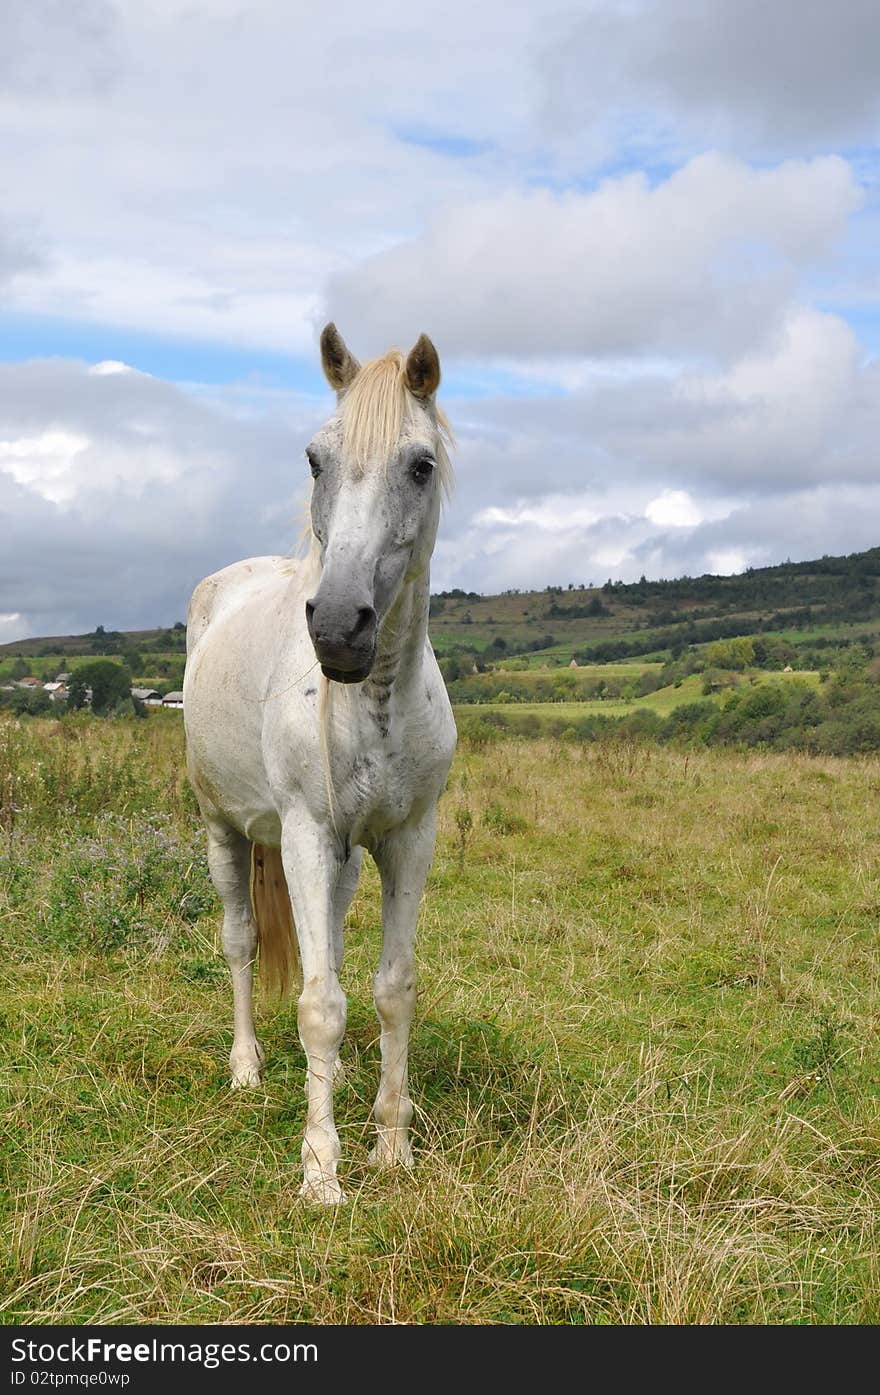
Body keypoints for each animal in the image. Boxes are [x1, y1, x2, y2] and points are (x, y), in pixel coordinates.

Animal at [182, 323, 457, 1199]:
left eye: (421, 464)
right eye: (314, 459)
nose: (338, 625)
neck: (375, 698)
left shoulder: (407, 838)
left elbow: (390, 989)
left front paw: (392, 1144)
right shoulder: (304, 832)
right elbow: (317, 1005)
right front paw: (321, 1173)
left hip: (340, 858)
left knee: (324, 946)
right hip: (226, 831)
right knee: (240, 940)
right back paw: (245, 1068)